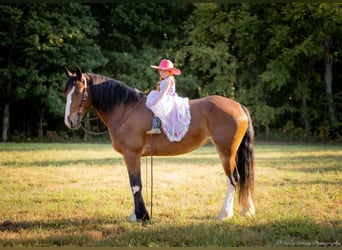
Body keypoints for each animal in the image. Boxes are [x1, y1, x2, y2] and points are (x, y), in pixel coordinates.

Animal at [62, 66, 255, 221]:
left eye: (78, 92)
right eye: (66, 94)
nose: (69, 121)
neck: (126, 109)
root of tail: (238, 106)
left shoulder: (131, 155)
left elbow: (135, 185)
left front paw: (141, 216)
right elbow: (135, 184)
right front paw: (137, 214)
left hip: (226, 152)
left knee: (233, 178)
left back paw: (224, 214)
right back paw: (246, 209)